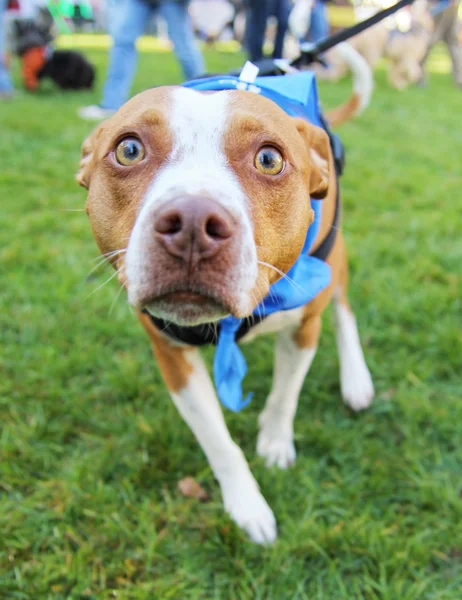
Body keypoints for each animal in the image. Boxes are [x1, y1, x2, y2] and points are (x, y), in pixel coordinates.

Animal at [77, 70, 374, 544]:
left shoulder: (303, 328)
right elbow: (218, 441)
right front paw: (247, 504)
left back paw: (356, 379)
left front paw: (275, 444)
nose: (192, 224)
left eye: (269, 159)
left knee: (343, 310)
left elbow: (285, 395)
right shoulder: (172, 355)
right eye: (129, 149)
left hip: (336, 258)